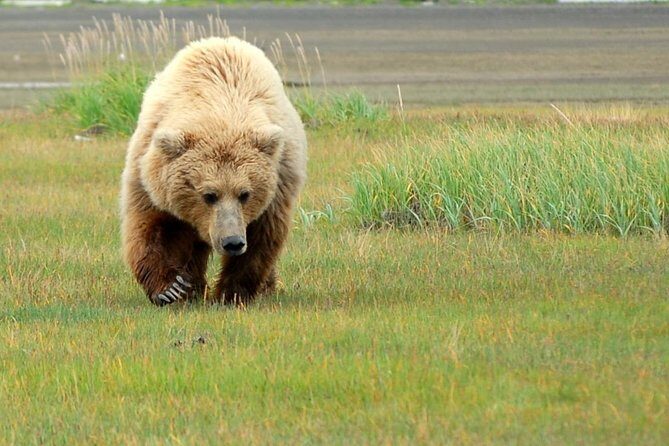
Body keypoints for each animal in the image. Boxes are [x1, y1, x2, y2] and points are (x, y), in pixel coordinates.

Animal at [120, 37, 307, 306]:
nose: (233, 242)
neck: (220, 104)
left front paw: (232, 293)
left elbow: (262, 238)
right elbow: (150, 226)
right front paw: (171, 288)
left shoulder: (278, 183)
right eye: (209, 195)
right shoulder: (149, 174)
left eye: (245, 194)